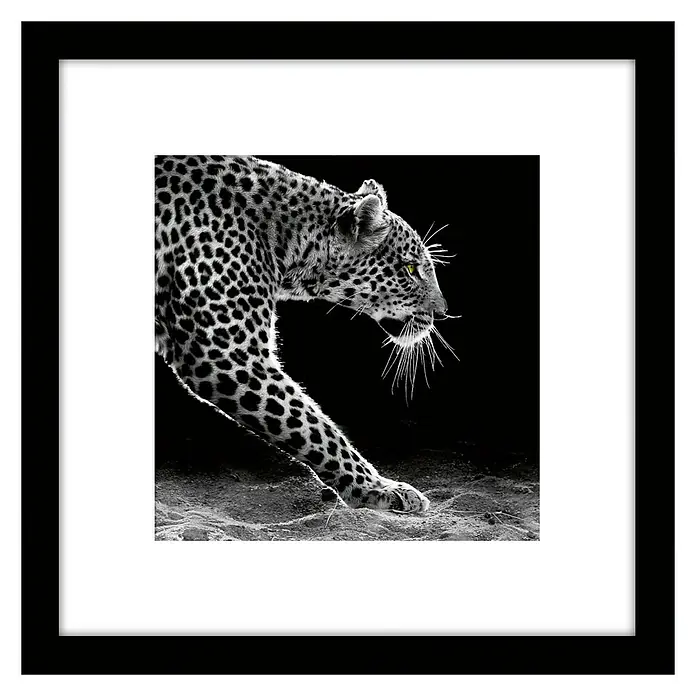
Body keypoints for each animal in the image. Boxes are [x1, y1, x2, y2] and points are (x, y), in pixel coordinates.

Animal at [155, 155, 452, 513]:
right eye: (409, 269)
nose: (443, 312)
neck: (286, 239)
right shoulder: (228, 354)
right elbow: (313, 427)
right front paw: (378, 488)